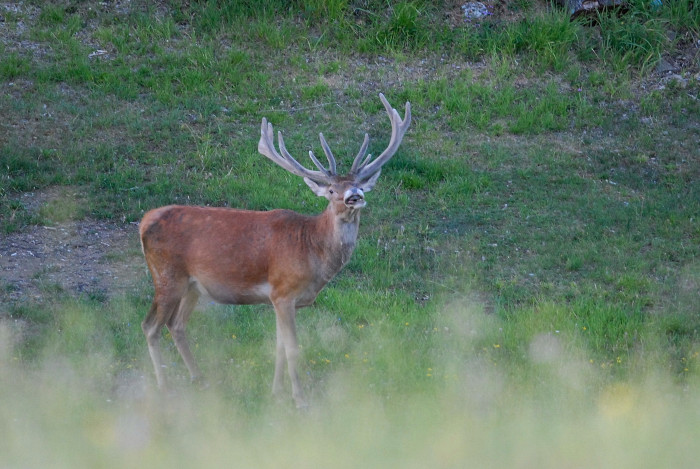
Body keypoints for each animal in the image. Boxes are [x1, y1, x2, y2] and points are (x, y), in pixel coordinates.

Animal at [139, 92, 410, 406]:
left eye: (359, 185)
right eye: (332, 190)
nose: (354, 196)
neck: (312, 250)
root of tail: (144, 221)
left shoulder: (279, 299)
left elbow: (278, 347)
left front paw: (276, 392)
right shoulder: (283, 292)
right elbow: (292, 348)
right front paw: (300, 399)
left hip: (193, 286)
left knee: (177, 325)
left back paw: (200, 379)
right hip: (166, 275)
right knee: (151, 326)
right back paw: (164, 387)